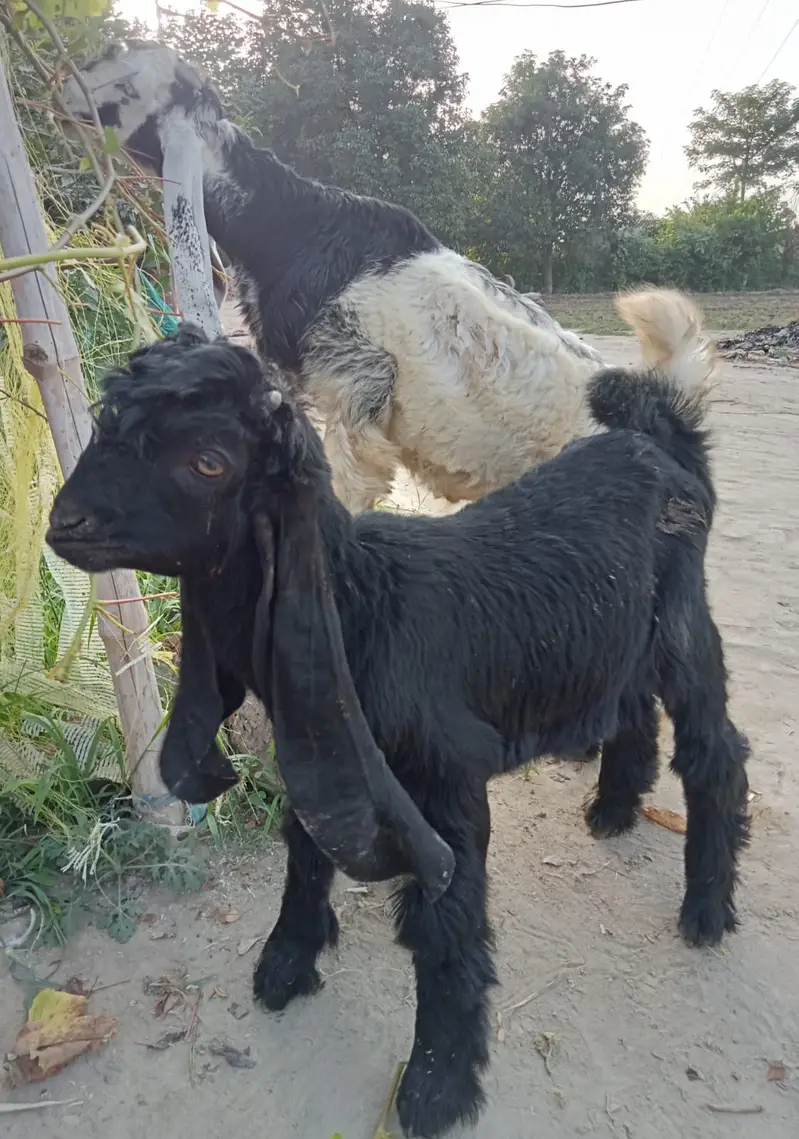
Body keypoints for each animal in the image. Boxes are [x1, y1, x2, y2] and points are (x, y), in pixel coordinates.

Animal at [46, 291, 749, 1139]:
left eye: (208, 461)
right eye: (104, 422)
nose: (65, 523)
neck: (359, 603)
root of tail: (661, 440)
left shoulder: (444, 778)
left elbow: (444, 924)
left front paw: (437, 1084)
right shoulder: (326, 747)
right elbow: (307, 850)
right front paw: (285, 963)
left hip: (683, 625)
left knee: (714, 751)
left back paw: (705, 906)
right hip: (619, 632)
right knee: (629, 704)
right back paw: (613, 809)